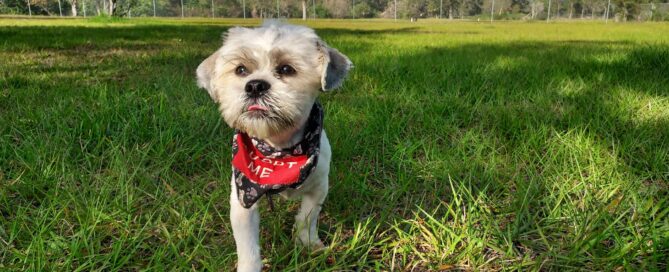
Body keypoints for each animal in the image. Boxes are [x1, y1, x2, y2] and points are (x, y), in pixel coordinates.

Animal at [194, 22, 352, 270]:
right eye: (240, 70)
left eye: (287, 69)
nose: (255, 85)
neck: (278, 150)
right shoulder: (242, 199)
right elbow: (247, 246)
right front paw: (249, 266)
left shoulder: (318, 188)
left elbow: (307, 217)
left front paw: (308, 243)